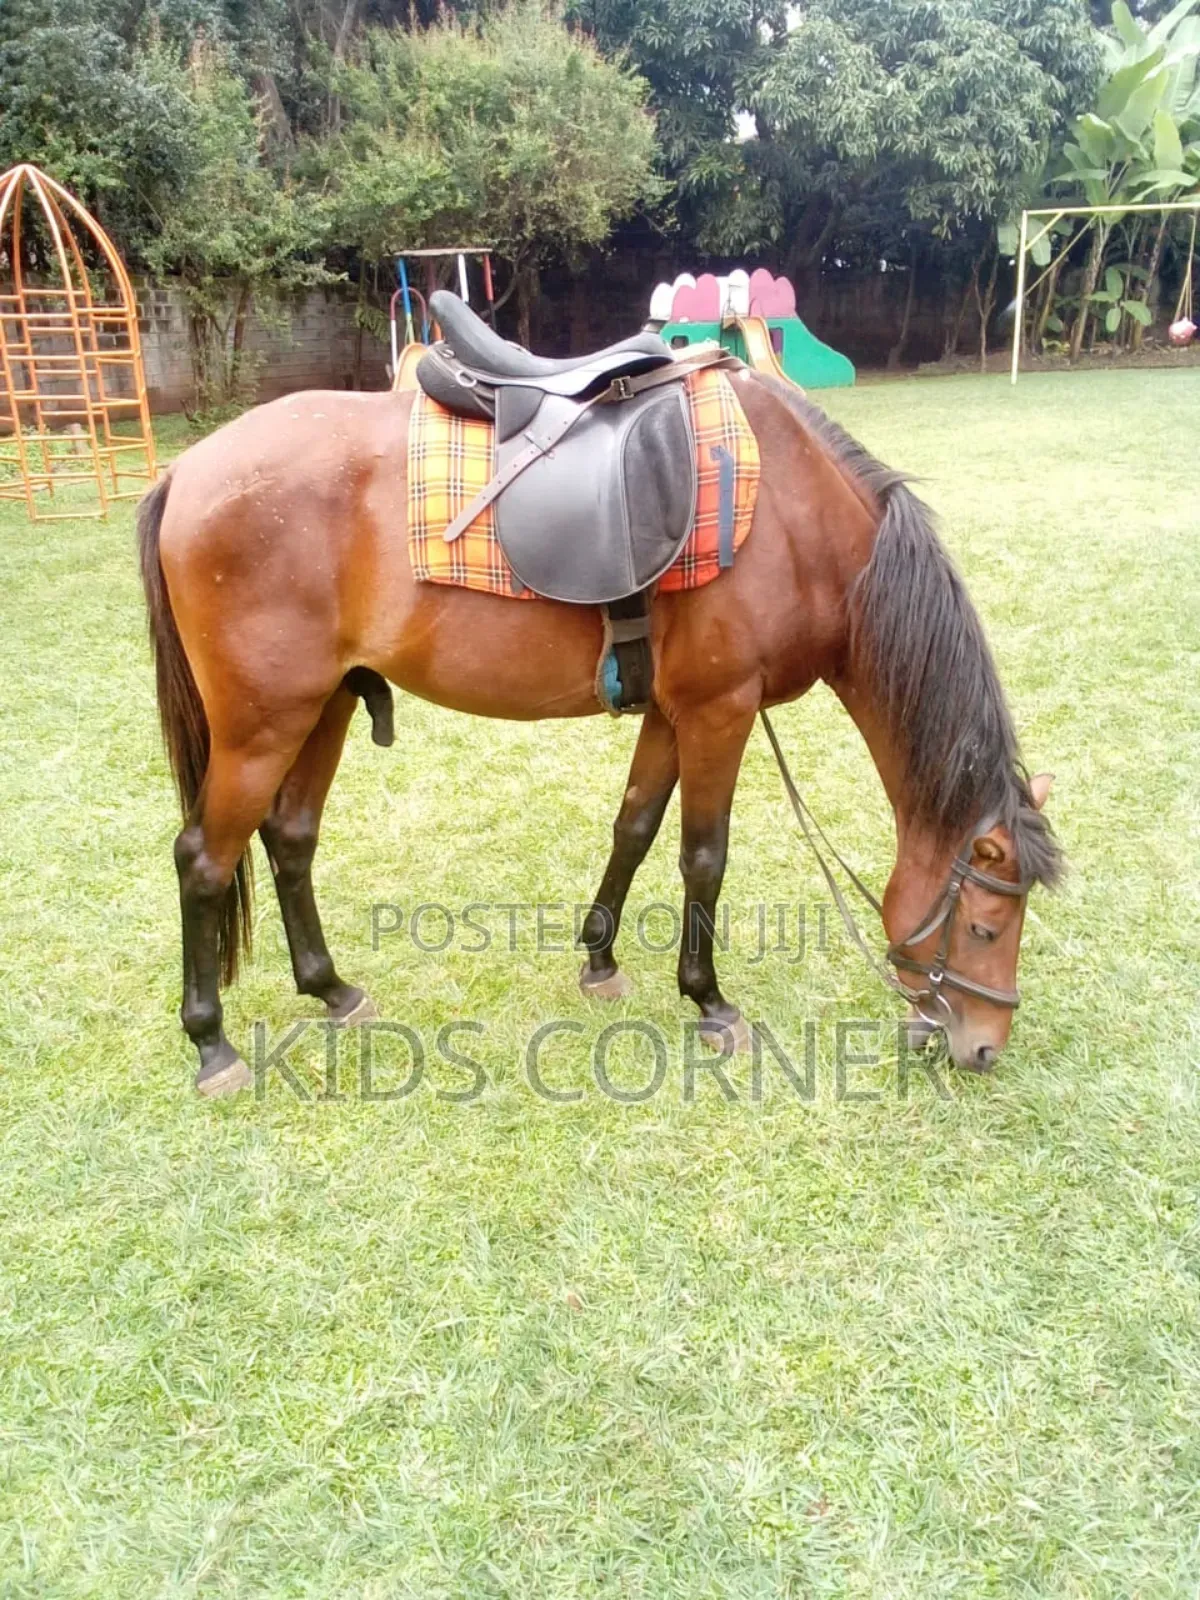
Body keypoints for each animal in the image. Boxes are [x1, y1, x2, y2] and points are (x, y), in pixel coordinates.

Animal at [137, 369, 1061, 1096]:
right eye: (987, 927)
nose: (982, 1048)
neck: (802, 526)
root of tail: (184, 471)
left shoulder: (673, 710)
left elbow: (636, 826)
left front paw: (600, 960)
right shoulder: (721, 710)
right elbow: (703, 856)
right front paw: (709, 1000)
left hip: (319, 708)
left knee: (290, 839)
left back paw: (330, 989)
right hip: (261, 726)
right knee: (204, 860)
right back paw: (212, 1042)